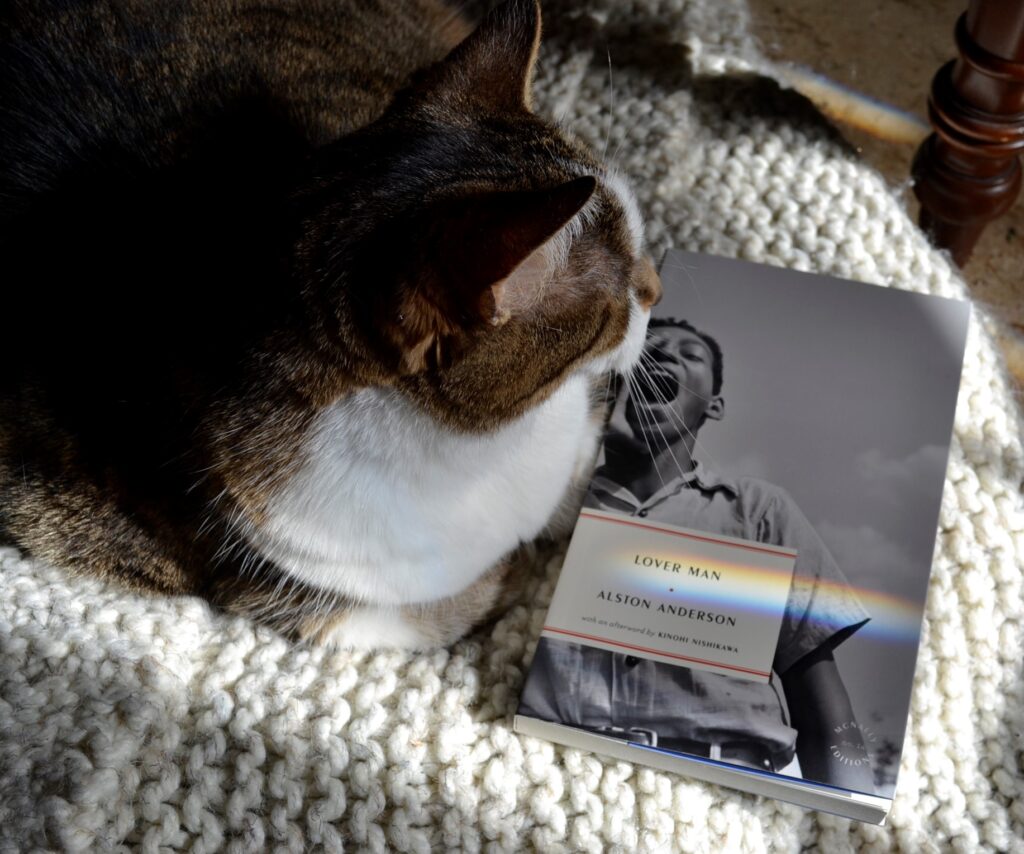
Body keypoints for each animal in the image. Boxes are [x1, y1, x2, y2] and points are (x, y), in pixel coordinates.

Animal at [0, 0, 663, 647]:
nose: (658, 287)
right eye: (622, 294)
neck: (490, 448)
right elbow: (449, 609)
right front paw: (518, 575)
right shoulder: (290, 589)